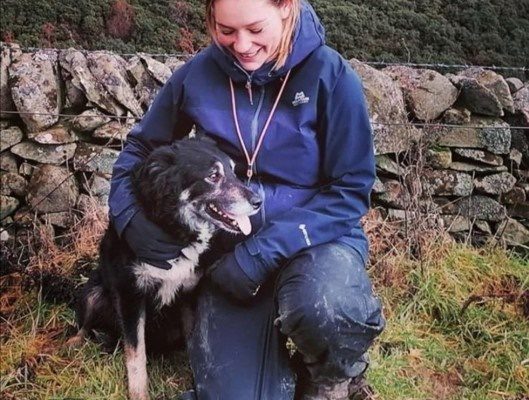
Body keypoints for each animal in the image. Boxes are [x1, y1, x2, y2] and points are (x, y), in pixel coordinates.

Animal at [70, 138, 260, 400]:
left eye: (233, 170)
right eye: (213, 176)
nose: (258, 202)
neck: (175, 231)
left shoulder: (188, 294)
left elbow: (193, 345)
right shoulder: (131, 295)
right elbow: (136, 357)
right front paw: (139, 395)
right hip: (93, 292)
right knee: (85, 324)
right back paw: (73, 343)